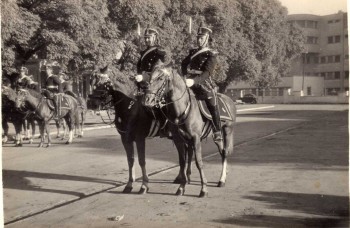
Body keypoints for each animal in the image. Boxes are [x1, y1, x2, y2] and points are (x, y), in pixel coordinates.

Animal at [143, 67, 238, 197]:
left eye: (161, 78)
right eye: (151, 76)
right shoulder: (179, 139)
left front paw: (203, 189)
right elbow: (183, 161)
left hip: (227, 130)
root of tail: (229, 100)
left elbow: (198, 162)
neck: (182, 109)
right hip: (216, 135)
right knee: (221, 150)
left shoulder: (195, 138)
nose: (147, 100)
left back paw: (222, 179)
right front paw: (181, 187)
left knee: (224, 152)